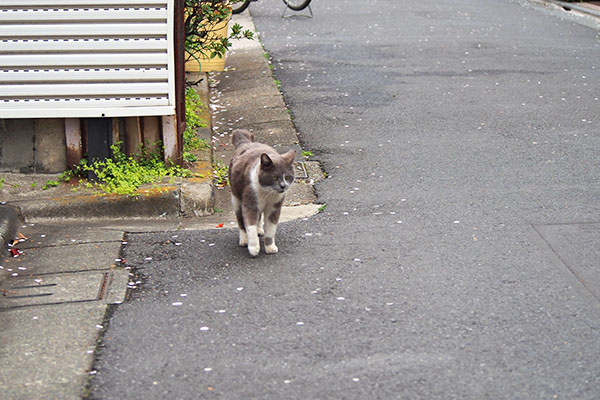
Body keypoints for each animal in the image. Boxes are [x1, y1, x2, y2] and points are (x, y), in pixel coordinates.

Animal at [229, 130, 296, 258]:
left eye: (287, 177)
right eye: (274, 177)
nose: (283, 186)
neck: (268, 193)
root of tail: (245, 142)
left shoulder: (274, 208)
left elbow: (271, 230)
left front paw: (270, 247)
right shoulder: (250, 204)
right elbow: (250, 227)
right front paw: (254, 248)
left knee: (259, 217)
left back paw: (259, 229)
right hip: (236, 199)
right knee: (241, 221)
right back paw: (244, 239)